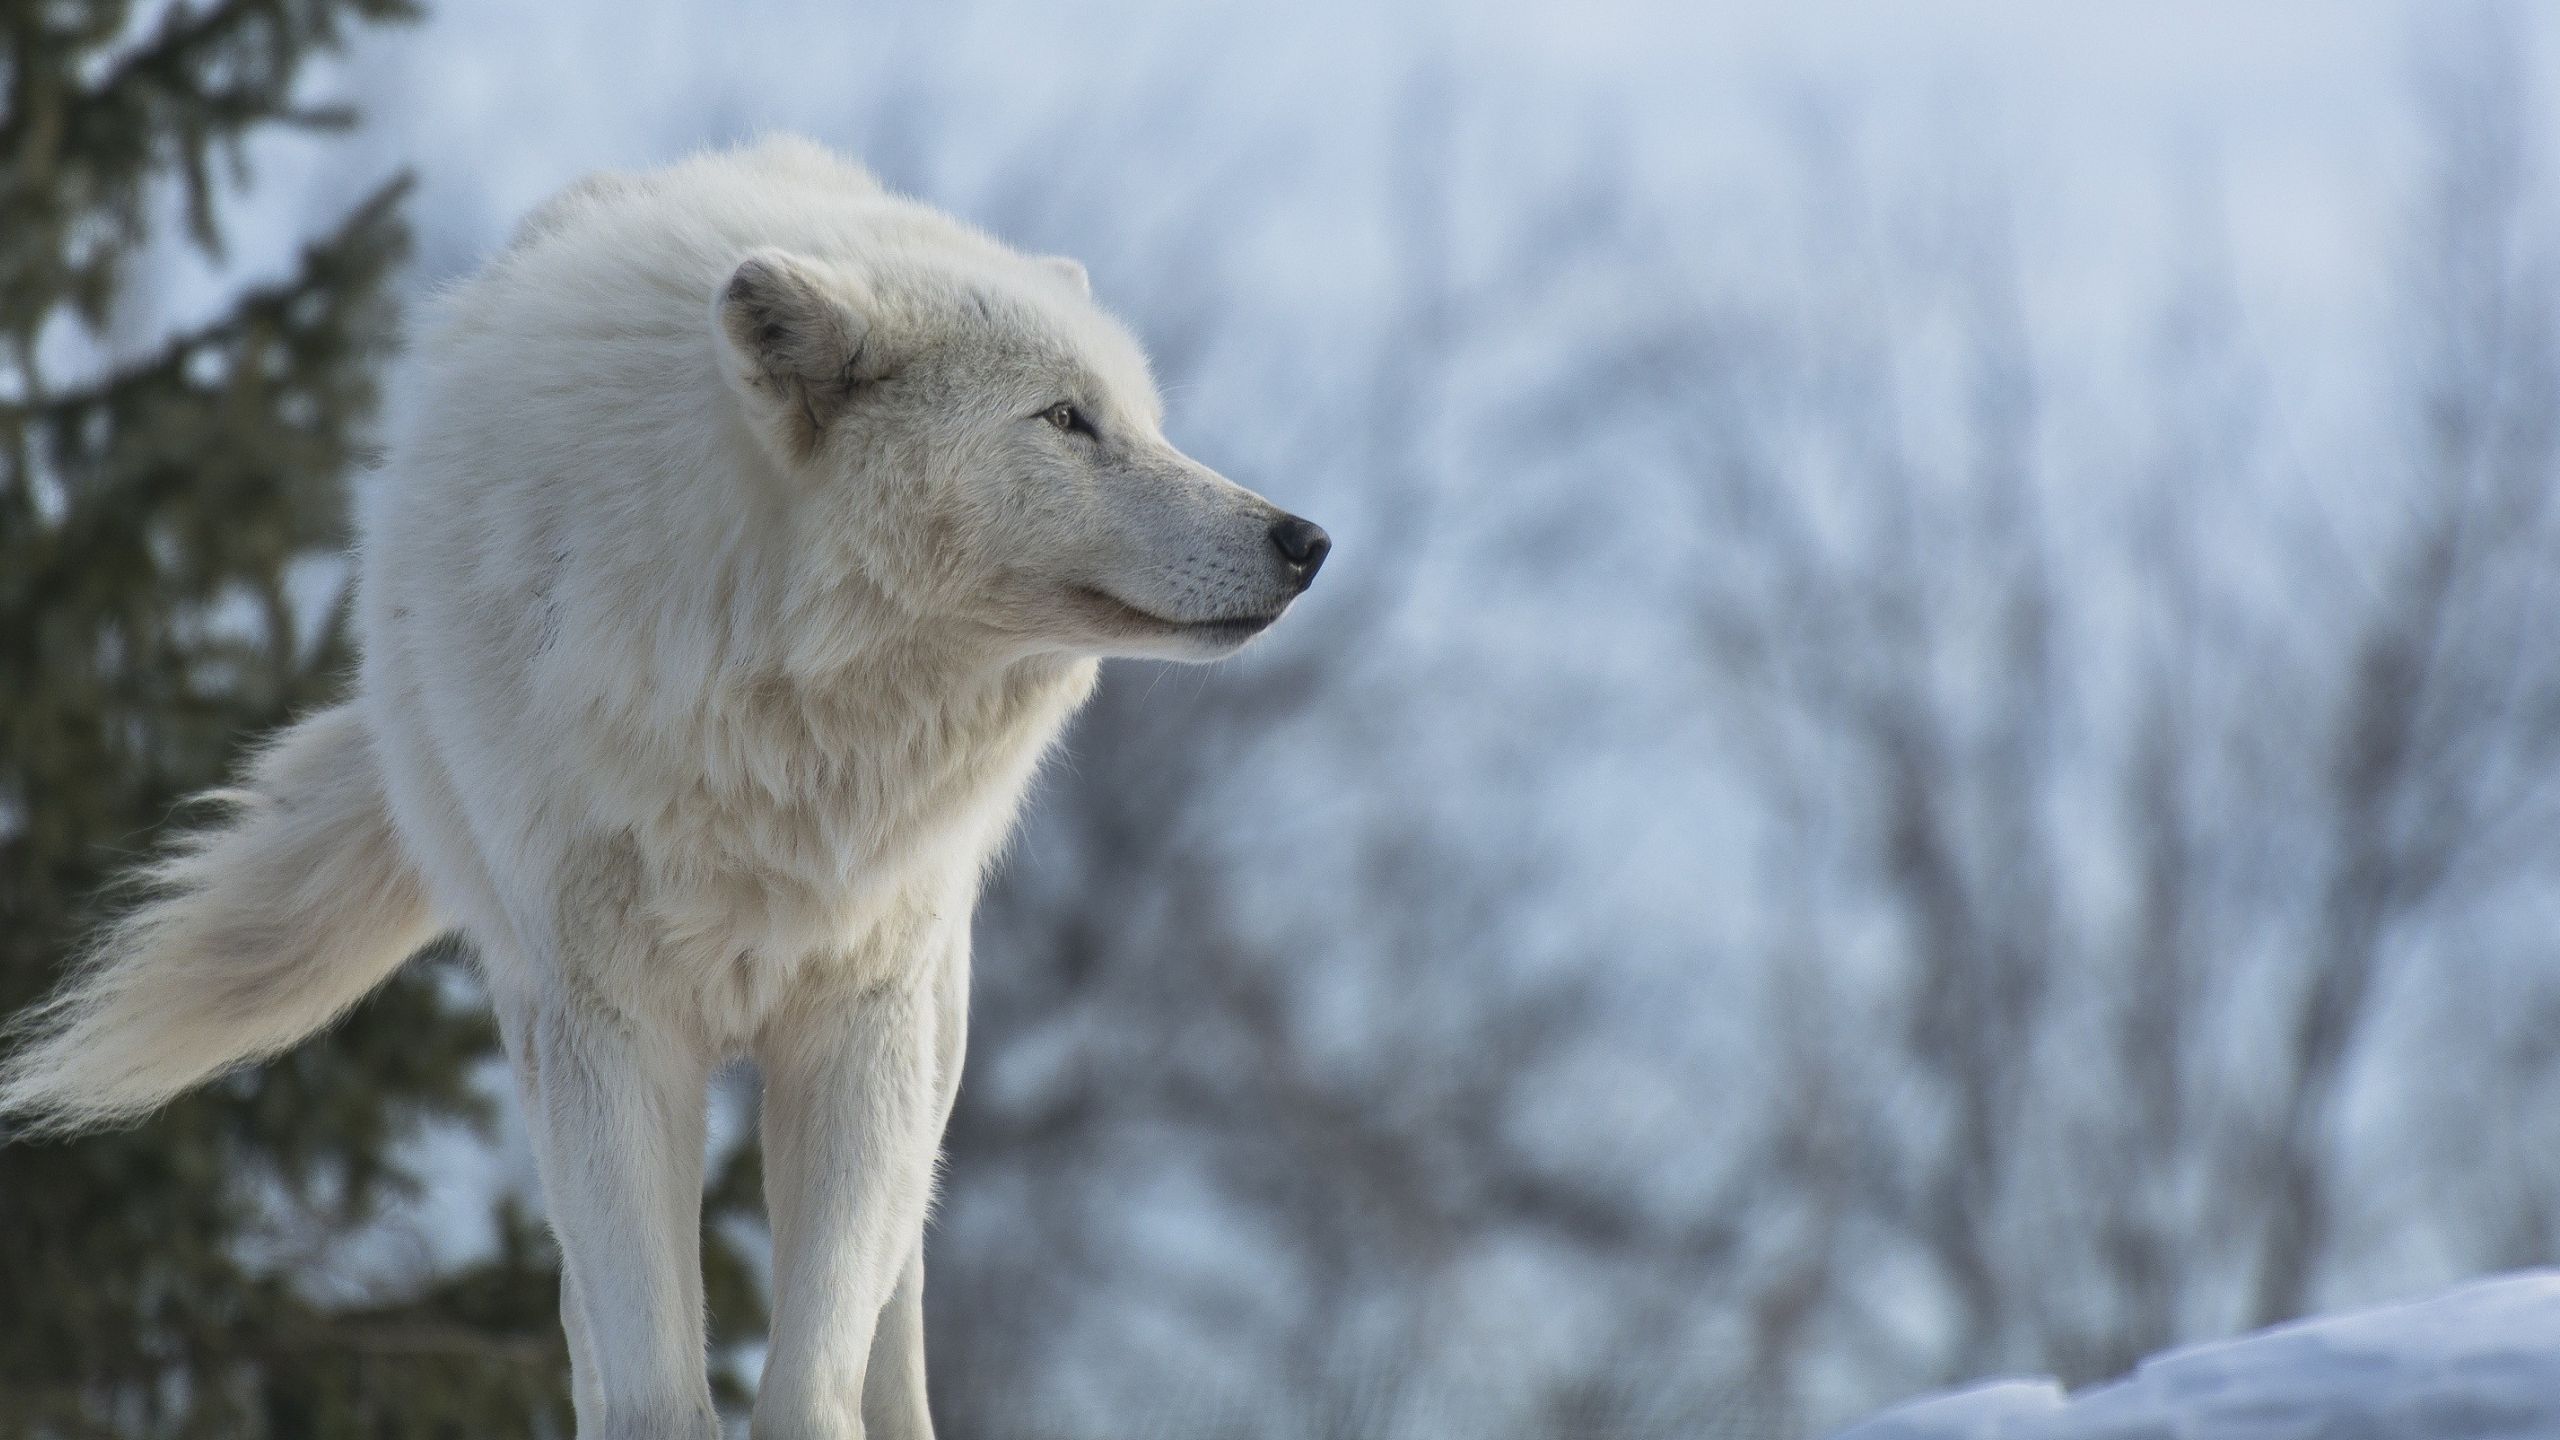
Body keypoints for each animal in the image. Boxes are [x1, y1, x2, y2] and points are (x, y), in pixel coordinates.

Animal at [0, 136, 1328, 1440]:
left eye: (1142, 421)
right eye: (1065, 419)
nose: (1305, 541)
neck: (777, 712)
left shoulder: (862, 1015)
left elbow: (816, 1378)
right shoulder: (607, 1025)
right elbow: (650, 1382)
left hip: (932, 1026)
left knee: (897, 1298)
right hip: (543, 1043)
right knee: (584, 1313)